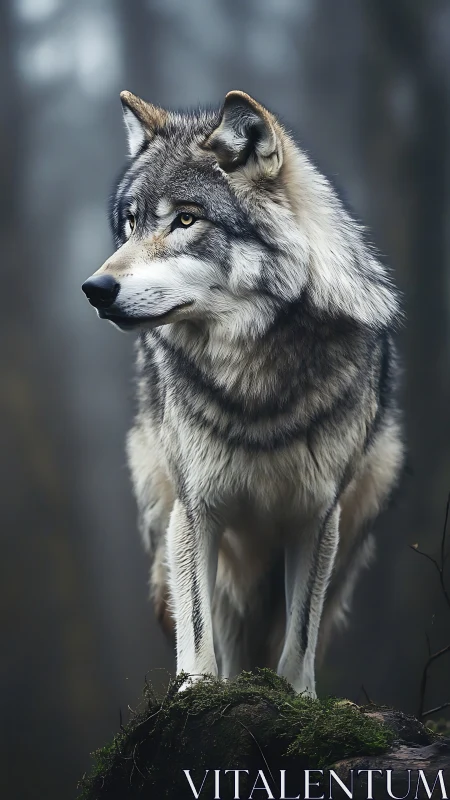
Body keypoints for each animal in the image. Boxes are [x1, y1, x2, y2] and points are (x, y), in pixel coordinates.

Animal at [82, 90, 403, 695]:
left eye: (186, 219)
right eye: (131, 224)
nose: (95, 288)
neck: (255, 378)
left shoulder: (315, 520)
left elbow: (298, 641)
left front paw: (298, 699)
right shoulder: (196, 511)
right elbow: (199, 635)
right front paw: (197, 697)